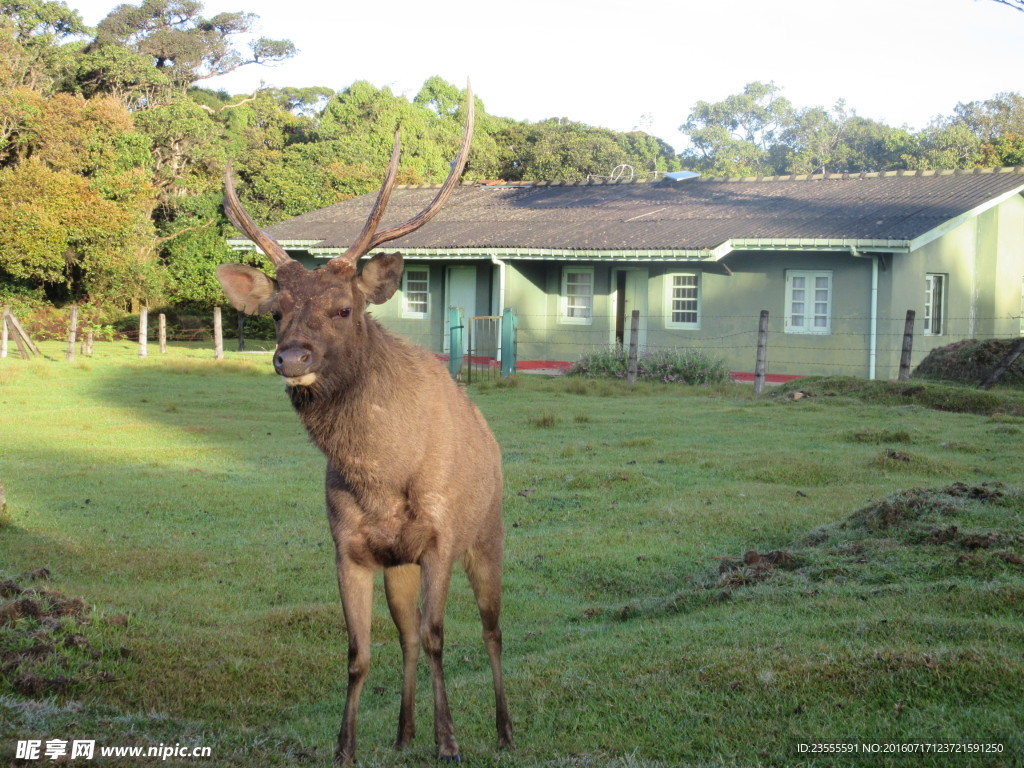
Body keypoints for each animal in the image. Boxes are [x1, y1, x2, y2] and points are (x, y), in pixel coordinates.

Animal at [216, 93, 512, 765]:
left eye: (342, 308)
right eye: (275, 312)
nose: (291, 357)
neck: (382, 476)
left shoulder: (441, 537)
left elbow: (438, 635)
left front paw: (449, 742)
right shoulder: (348, 546)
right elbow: (358, 652)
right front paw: (346, 747)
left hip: (488, 533)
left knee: (490, 629)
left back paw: (505, 728)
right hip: (398, 564)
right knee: (404, 637)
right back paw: (403, 733)